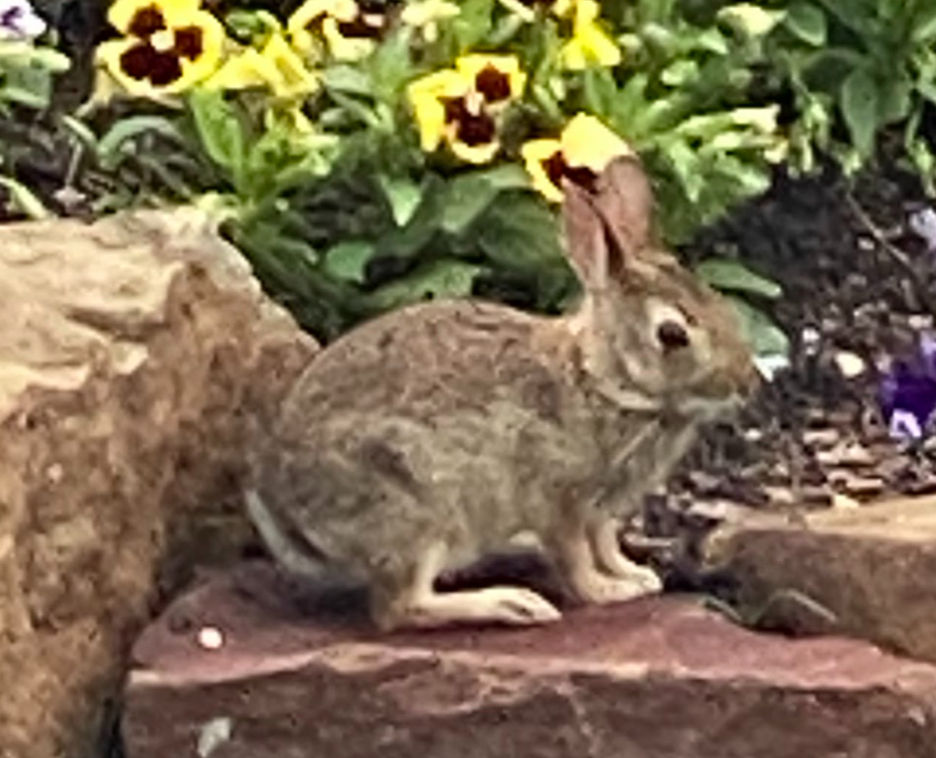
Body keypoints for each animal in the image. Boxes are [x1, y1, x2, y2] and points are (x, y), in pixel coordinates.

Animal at [244, 155, 759, 632]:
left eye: (720, 305)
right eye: (672, 335)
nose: (747, 384)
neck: (602, 381)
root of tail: (291, 514)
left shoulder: (602, 510)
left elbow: (606, 544)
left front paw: (636, 577)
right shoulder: (558, 500)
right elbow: (575, 556)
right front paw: (606, 592)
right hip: (416, 511)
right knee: (399, 608)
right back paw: (512, 604)